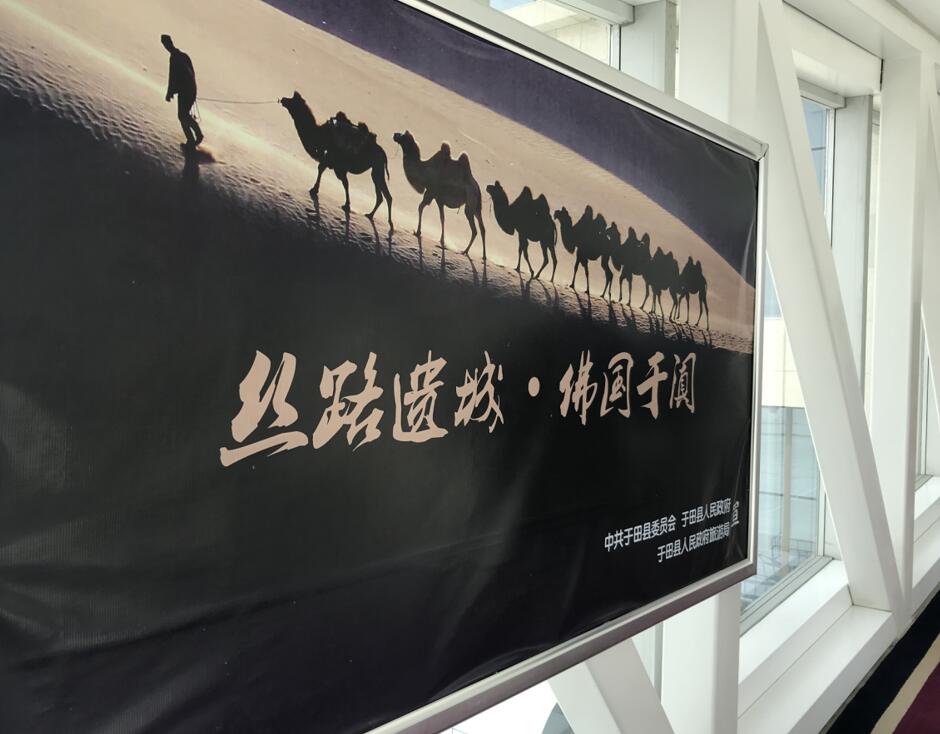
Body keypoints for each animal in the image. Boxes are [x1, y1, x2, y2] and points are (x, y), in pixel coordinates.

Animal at [279, 92, 393, 226]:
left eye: (292, 101)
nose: (282, 99)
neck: (320, 135)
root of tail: (383, 154)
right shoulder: (331, 160)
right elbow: (325, 171)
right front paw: (315, 190)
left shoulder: (336, 162)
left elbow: (341, 181)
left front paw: (345, 205)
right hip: (376, 169)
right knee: (380, 195)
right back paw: (370, 215)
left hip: (377, 166)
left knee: (386, 195)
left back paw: (388, 222)